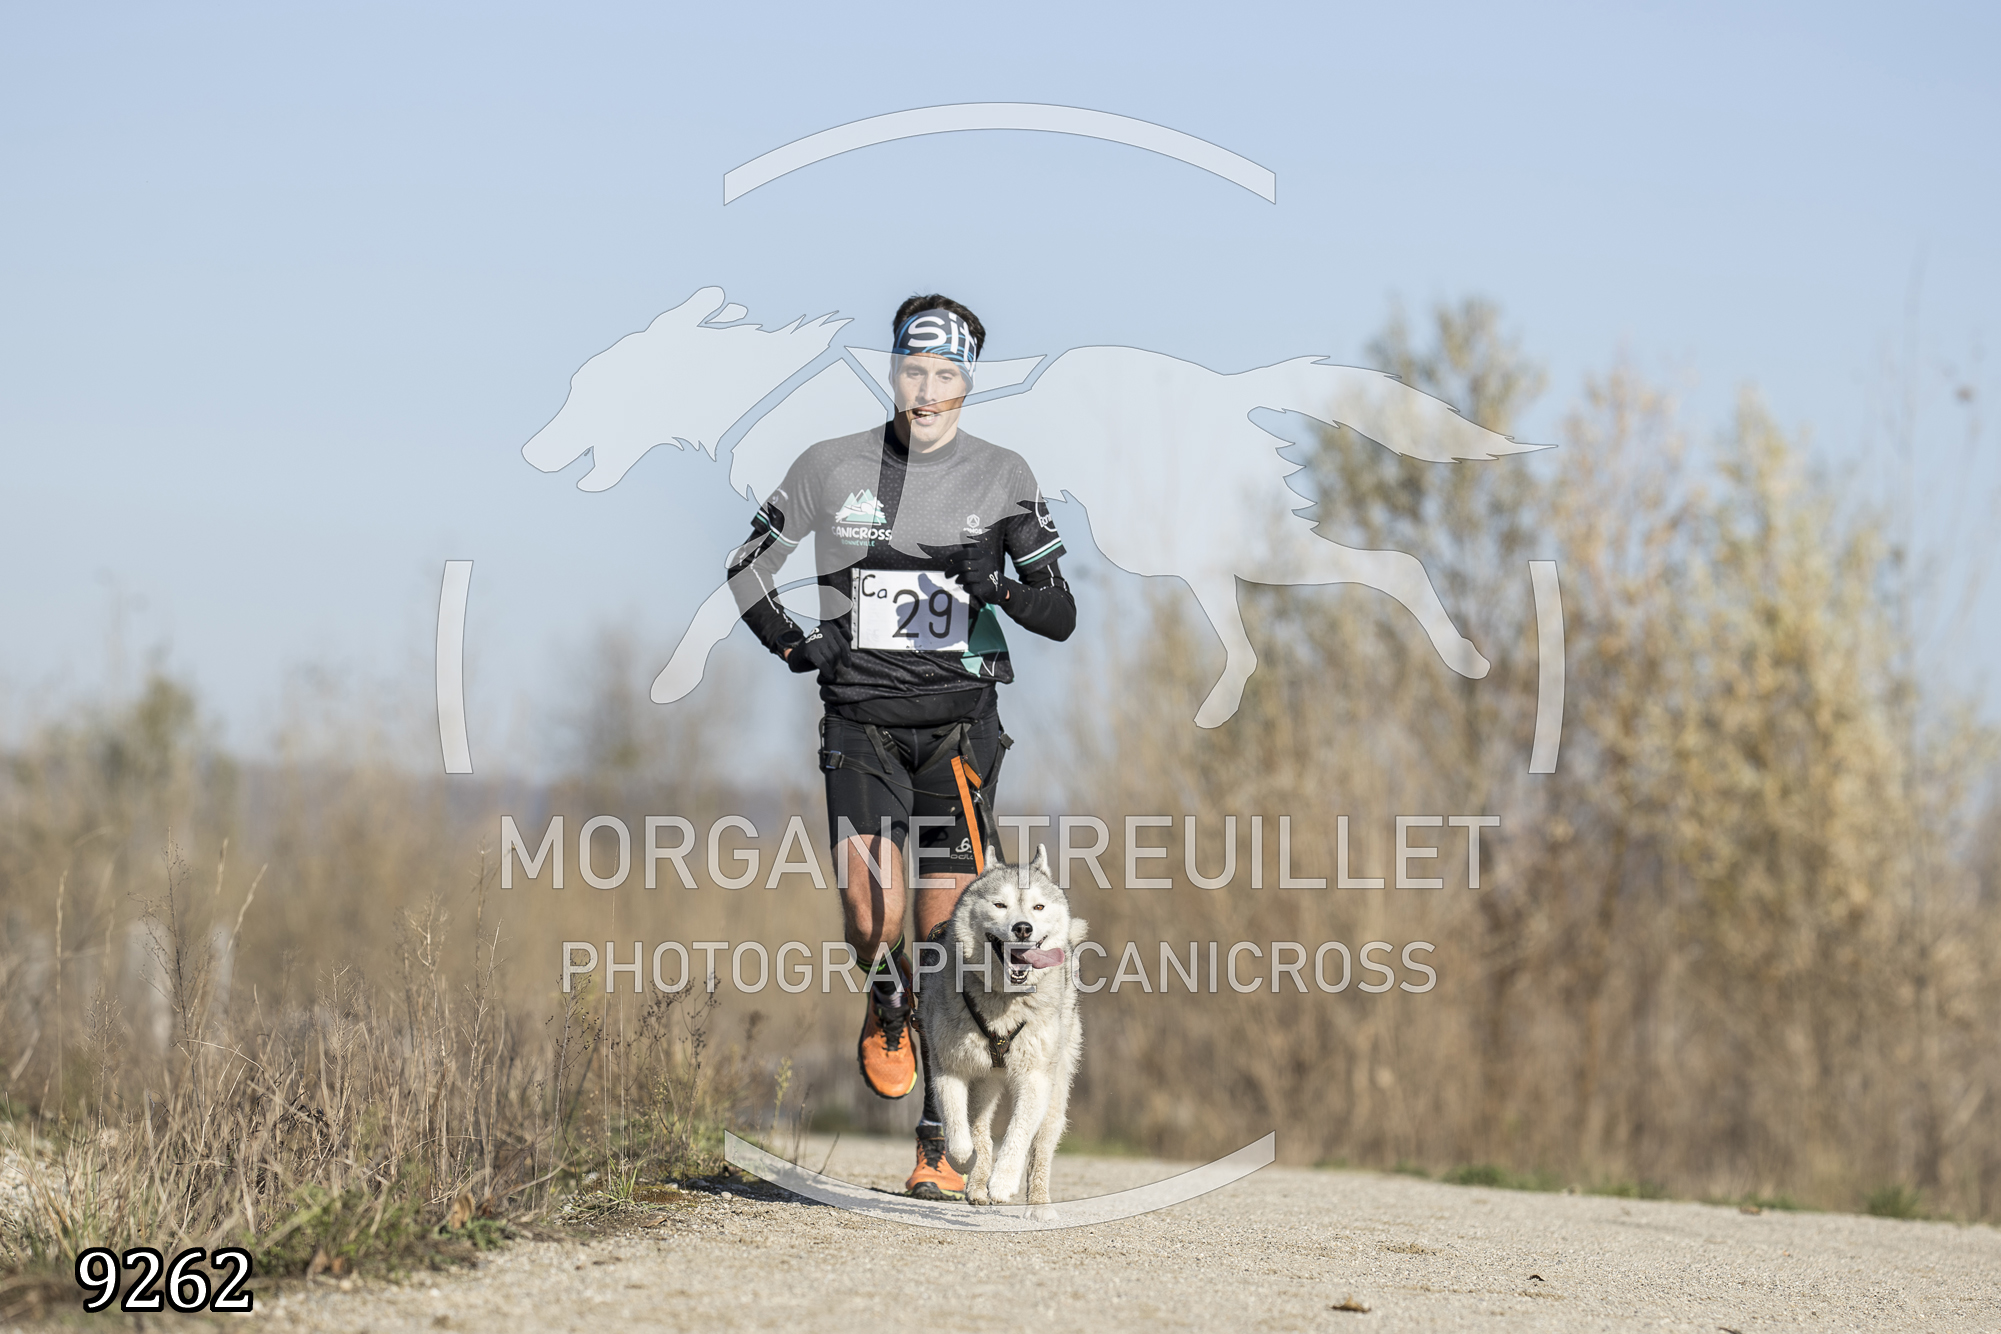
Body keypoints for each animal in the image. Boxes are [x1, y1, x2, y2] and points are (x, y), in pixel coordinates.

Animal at [918, 845, 1088, 1206]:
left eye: (1038, 906)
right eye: (1000, 905)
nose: (1023, 928)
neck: (1004, 1002)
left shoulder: (1036, 1077)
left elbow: (1018, 1135)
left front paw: (1003, 1181)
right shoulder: (948, 1068)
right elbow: (958, 1135)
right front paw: (964, 1163)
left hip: (1056, 1091)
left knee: (1041, 1149)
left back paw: (1038, 1205)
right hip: (985, 1081)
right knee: (980, 1128)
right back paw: (976, 1182)